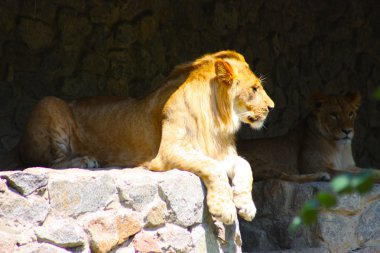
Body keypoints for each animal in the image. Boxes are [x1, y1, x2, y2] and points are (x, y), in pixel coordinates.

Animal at [0, 50, 274, 224]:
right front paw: (224, 208)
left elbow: (245, 165)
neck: (218, 117)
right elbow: (213, 168)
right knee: (46, 163)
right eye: (254, 88)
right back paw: (86, 160)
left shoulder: (222, 153)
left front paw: (246, 204)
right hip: (50, 103)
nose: (272, 107)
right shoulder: (168, 152)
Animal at [238, 91, 378, 182]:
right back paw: (321, 176)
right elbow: (349, 175)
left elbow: (368, 171)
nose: (347, 131)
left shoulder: (350, 166)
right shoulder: (313, 166)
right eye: (333, 115)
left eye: (350, 113)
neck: (339, 148)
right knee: (282, 176)